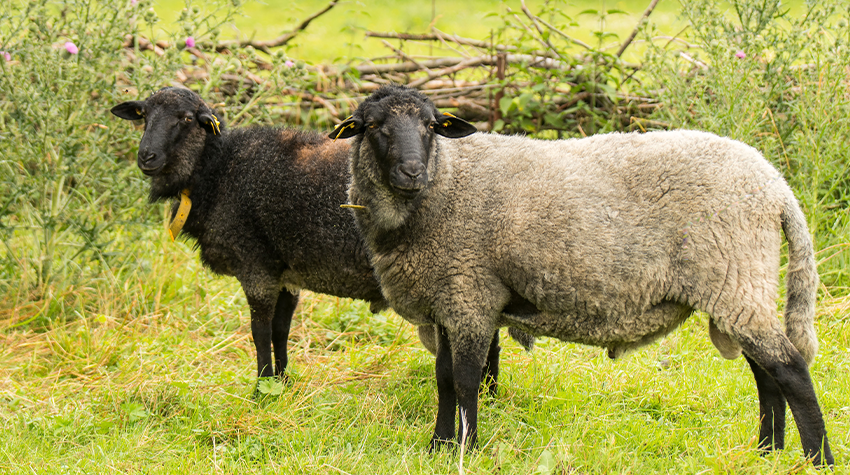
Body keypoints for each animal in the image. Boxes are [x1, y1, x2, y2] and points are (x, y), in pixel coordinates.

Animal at [109, 87, 528, 392]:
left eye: (185, 119)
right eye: (144, 115)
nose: (147, 156)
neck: (217, 169)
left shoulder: (255, 265)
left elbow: (259, 331)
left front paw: (261, 386)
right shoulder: (286, 270)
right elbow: (281, 329)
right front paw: (282, 381)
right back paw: (490, 395)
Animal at [330, 85, 828, 468]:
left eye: (432, 126)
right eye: (372, 126)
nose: (411, 171)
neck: (444, 185)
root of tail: (776, 187)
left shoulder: (470, 296)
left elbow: (466, 380)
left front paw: (465, 450)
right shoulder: (446, 303)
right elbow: (444, 379)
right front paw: (438, 446)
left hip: (737, 277)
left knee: (791, 370)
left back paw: (815, 459)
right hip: (738, 287)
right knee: (767, 374)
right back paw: (766, 453)